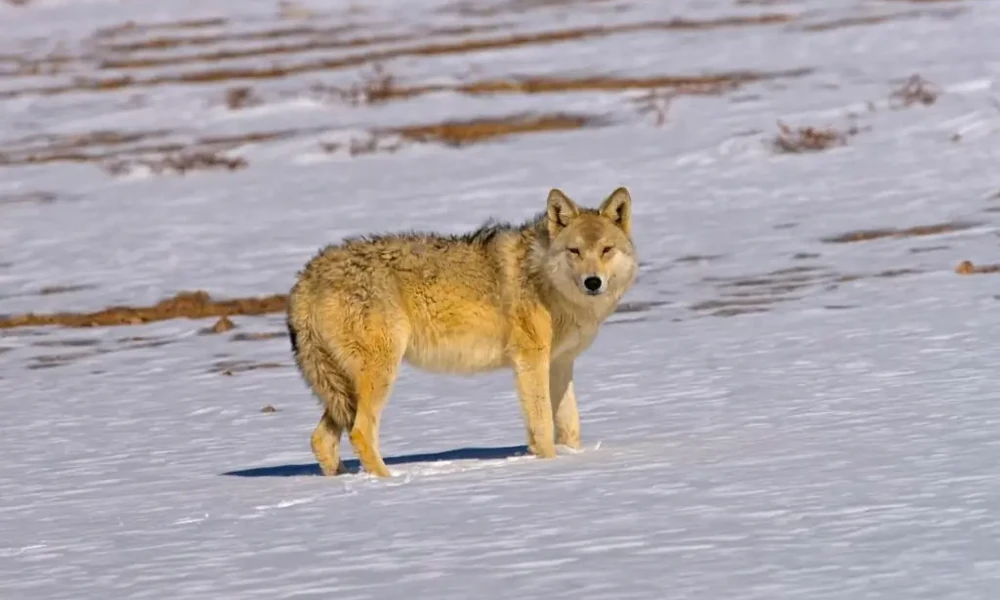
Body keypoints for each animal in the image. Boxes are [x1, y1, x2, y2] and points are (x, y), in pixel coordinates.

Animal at [286, 186, 638, 477]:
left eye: (606, 250)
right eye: (574, 251)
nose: (593, 282)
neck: (545, 281)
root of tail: (306, 277)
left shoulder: (561, 364)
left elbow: (570, 427)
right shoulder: (530, 361)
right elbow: (542, 428)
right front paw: (550, 467)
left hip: (343, 389)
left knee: (320, 439)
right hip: (380, 373)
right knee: (360, 432)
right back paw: (391, 483)